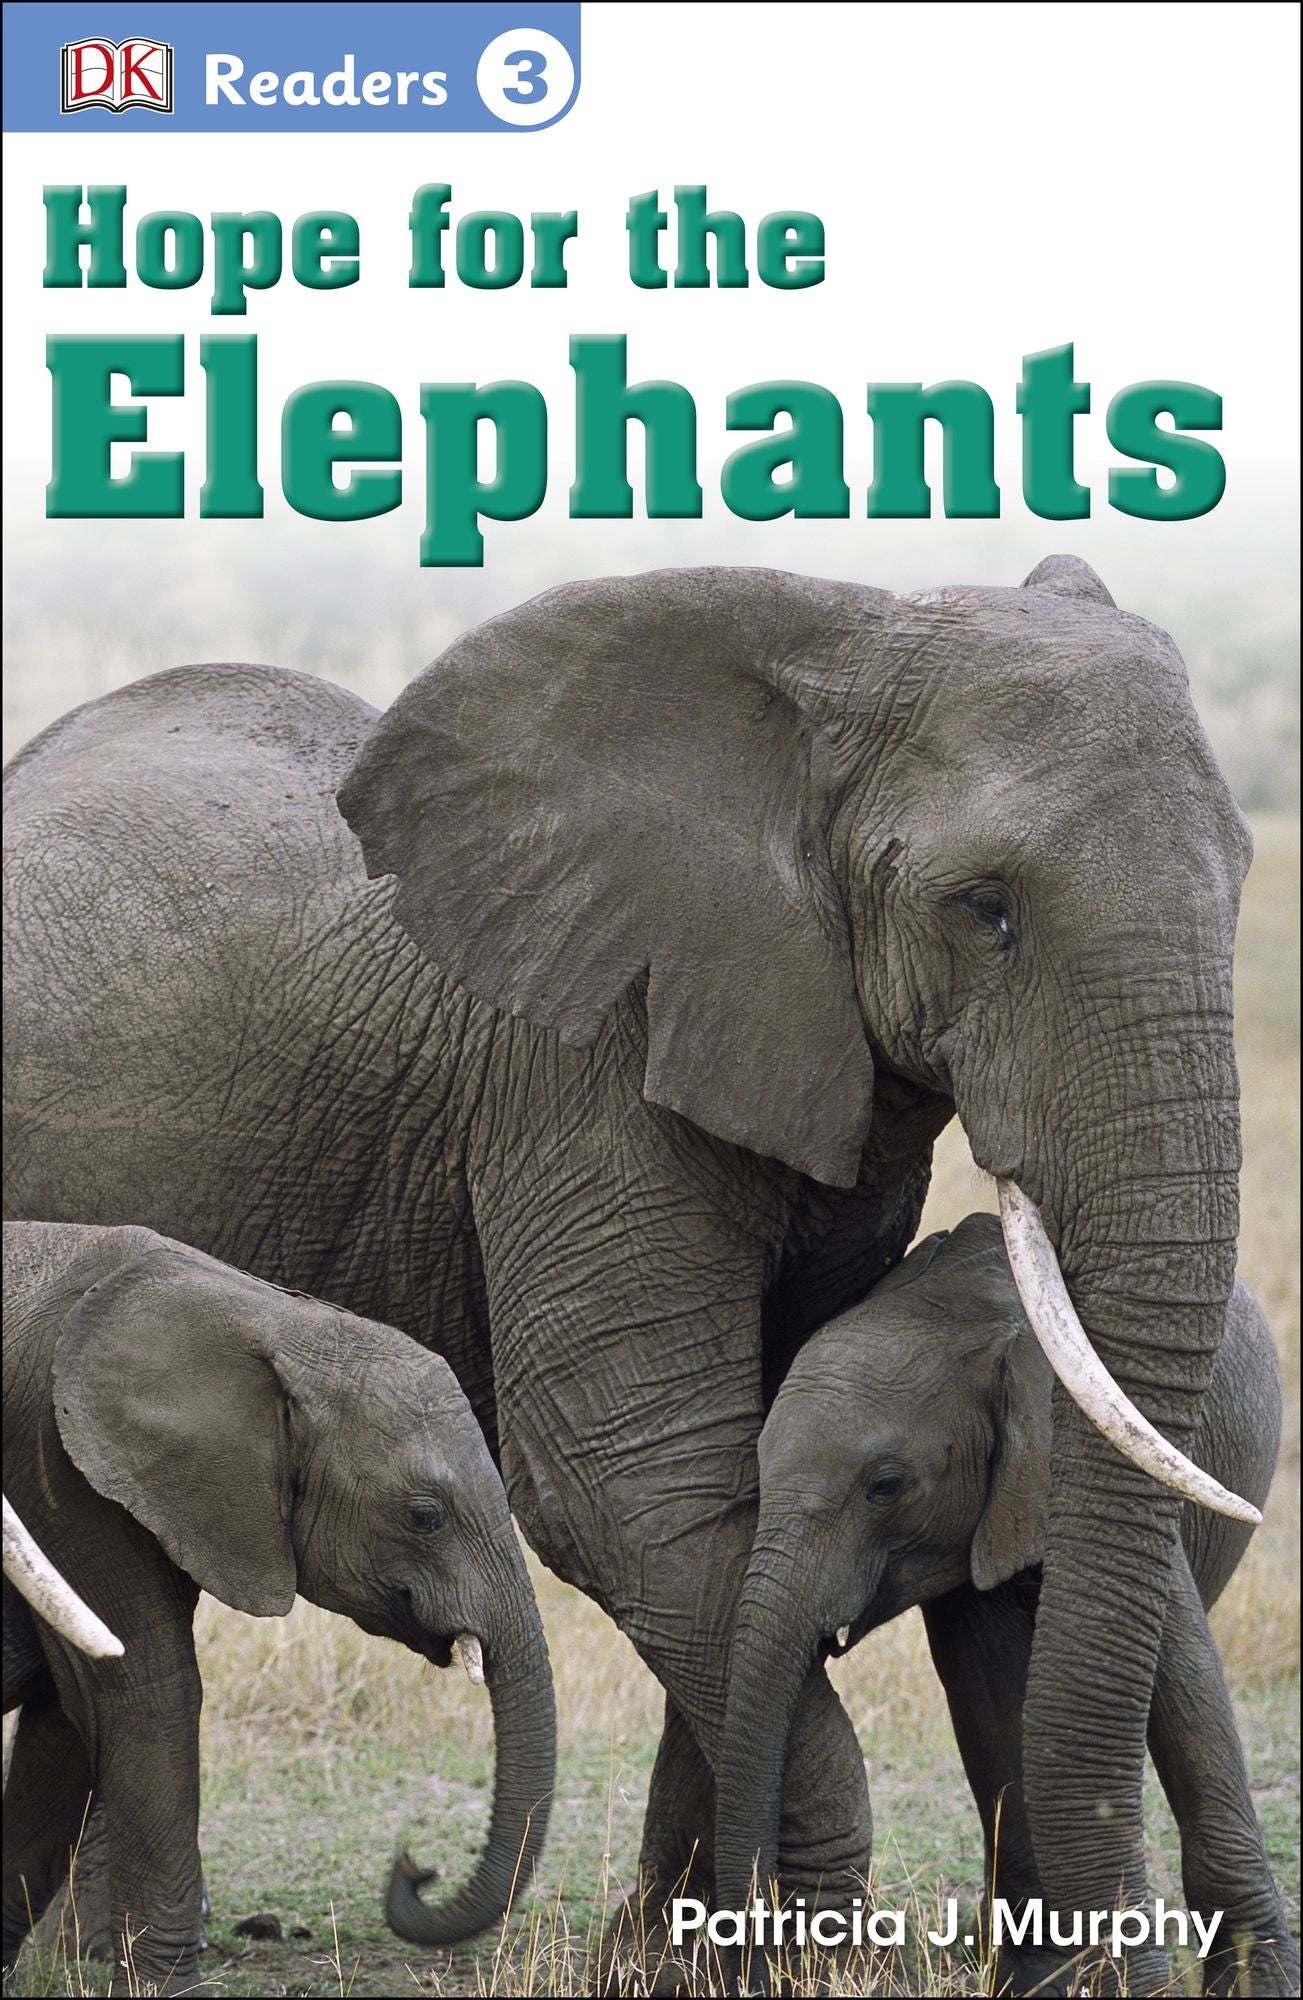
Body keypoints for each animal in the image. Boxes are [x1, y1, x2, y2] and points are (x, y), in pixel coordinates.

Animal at [1, 1220, 556, 1993]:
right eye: (424, 1516)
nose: (415, 1868)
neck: (272, 1321)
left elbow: (66, 1722)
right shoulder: (57, 1465)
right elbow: (148, 1692)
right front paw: (166, 1987)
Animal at [721, 1212, 1297, 1996]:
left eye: (886, 1486)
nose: (751, 1958)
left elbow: (1184, 1676)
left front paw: (1259, 1978)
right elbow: (989, 1689)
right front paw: (1040, 1977)